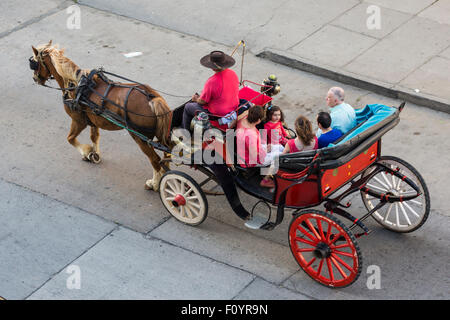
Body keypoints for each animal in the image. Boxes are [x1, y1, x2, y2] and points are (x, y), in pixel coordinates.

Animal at [28, 40, 172, 190]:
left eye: (34, 63)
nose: (35, 78)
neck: (76, 85)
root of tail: (152, 98)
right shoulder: (93, 121)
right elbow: (94, 137)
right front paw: (94, 154)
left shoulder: (78, 121)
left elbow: (70, 138)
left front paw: (87, 152)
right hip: (159, 135)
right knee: (167, 154)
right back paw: (165, 179)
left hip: (140, 138)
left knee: (155, 160)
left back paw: (155, 183)